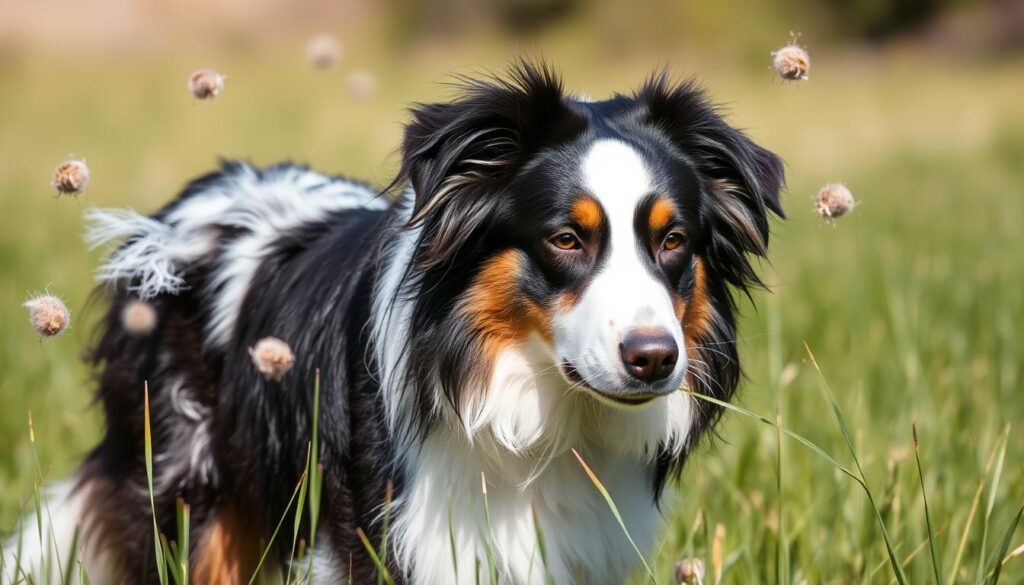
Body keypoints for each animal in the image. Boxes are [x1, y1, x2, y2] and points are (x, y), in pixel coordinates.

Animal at [4, 61, 782, 581]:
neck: (536, 416)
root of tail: (186, 204)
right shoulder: (380, 536)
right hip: (193, 488)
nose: (654, 357)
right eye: (566, 238)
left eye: (673, 240)